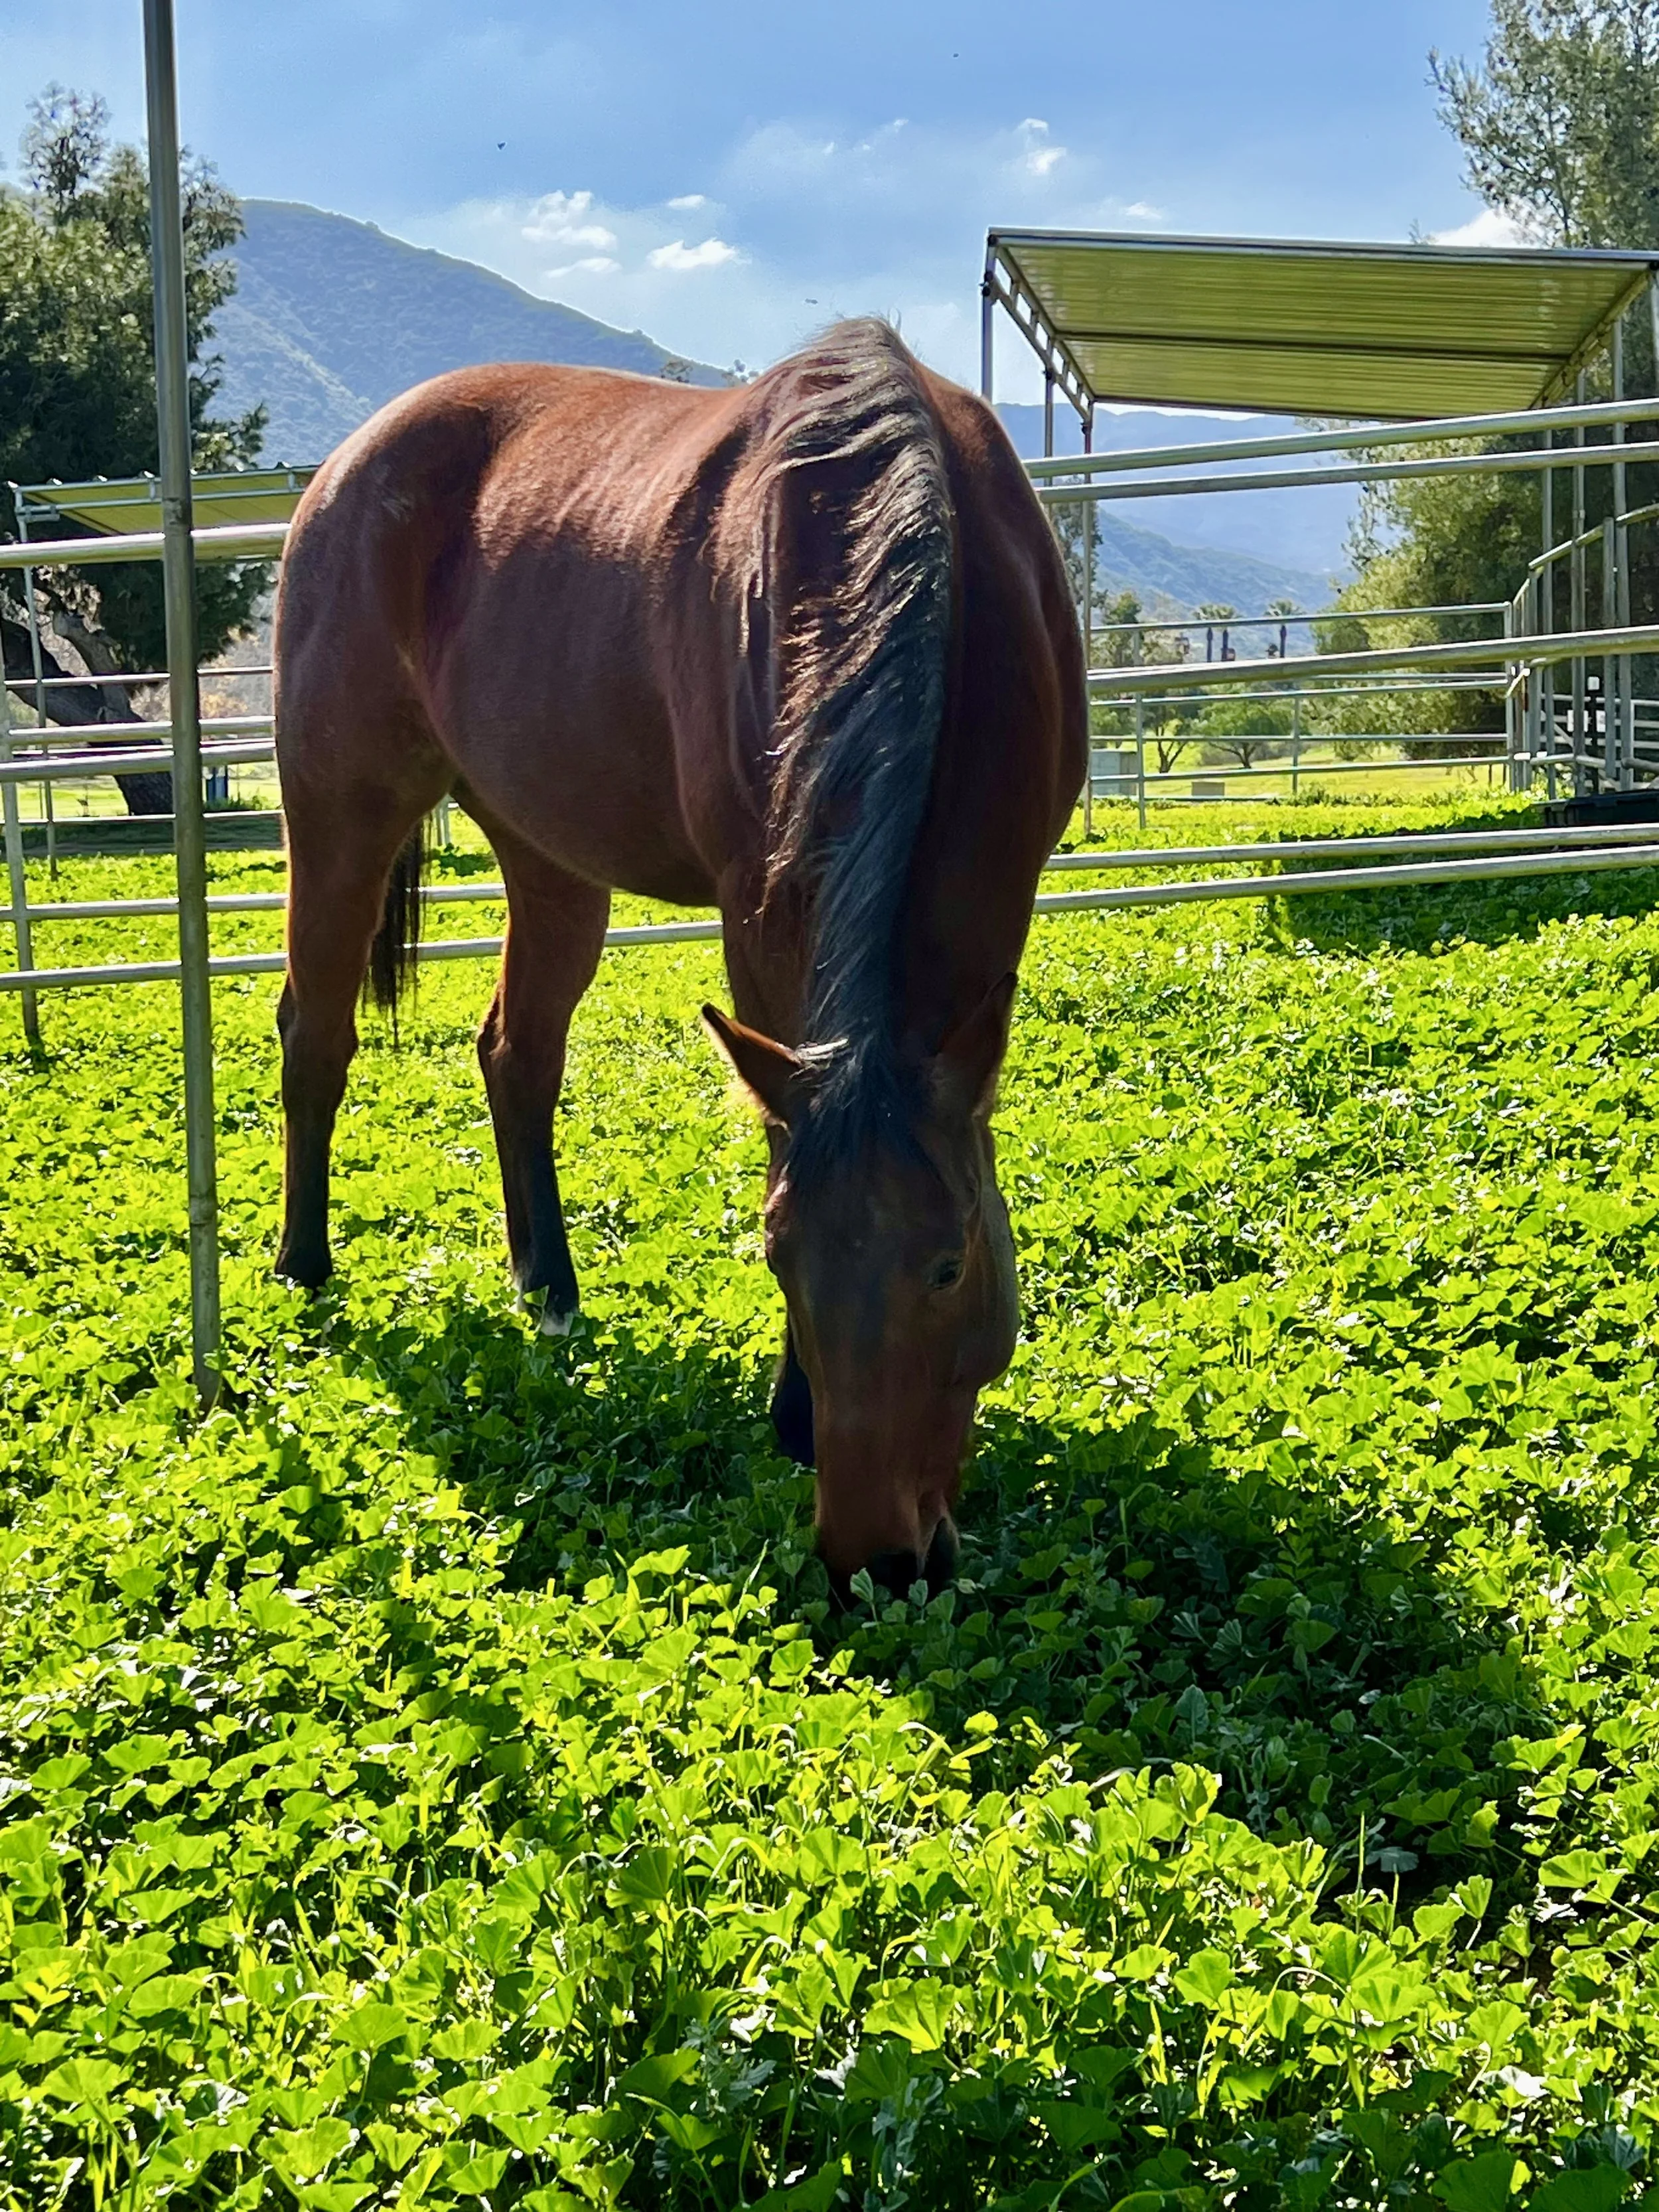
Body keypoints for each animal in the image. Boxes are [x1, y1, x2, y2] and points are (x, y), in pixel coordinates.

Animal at [272, 318, 1085, 1595]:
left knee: (517, 1053)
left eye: (951, 1264)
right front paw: (791, 1411)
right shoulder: (761, 911)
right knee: (318, 1030)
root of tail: (347, 468)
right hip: (341, 809)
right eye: (778, 1256)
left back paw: (549, 1289)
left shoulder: (1004, 893)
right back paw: (306, 1265)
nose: (872, 1559)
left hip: (547, 854)